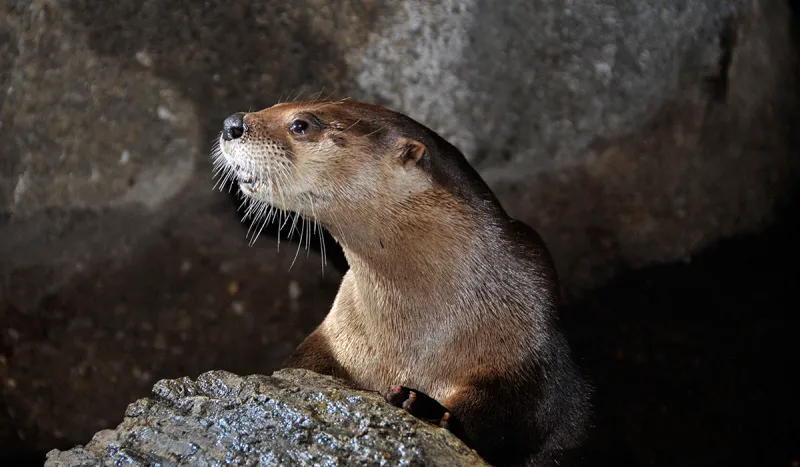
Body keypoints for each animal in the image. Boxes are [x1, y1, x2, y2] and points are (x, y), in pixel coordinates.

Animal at [216, 100, 592, 466]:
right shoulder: (336, 335)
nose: (232, 123)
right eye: (277, 104)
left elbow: (521, 416)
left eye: (301, 125)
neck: (421, 339)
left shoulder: (529, 349)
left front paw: (427, 409)